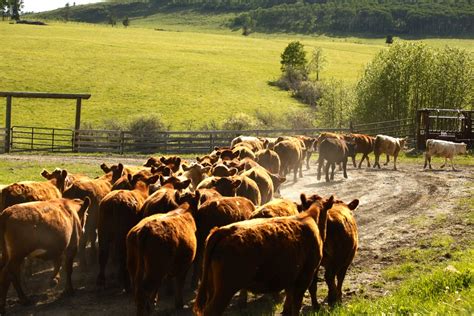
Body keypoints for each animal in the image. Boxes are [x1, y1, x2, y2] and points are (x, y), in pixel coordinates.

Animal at [193, 195, 334, 316]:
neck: (310, 218)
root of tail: (223, 231)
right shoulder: (305, 275)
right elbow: (298, 302)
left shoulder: (292, 277)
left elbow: (289, 301)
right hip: (225, 290)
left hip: (212, 287)